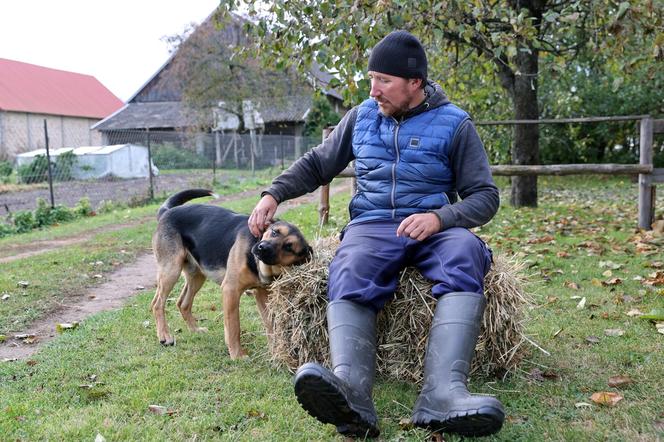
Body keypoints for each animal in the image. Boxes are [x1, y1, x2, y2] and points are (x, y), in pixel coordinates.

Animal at [150, 189, 312, 360]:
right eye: (274, 232)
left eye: (289, 247)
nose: (261, 247)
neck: (257, 264)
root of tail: (167, 212)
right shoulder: (230, 290)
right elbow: (234, 327)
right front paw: (237, 355)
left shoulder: (262, 294)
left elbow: (270, 324)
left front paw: (276, 352)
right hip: (171, 270)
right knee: (157, 303)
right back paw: (165, 336)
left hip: (197, 275)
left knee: (182, 303)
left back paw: (195, 330)